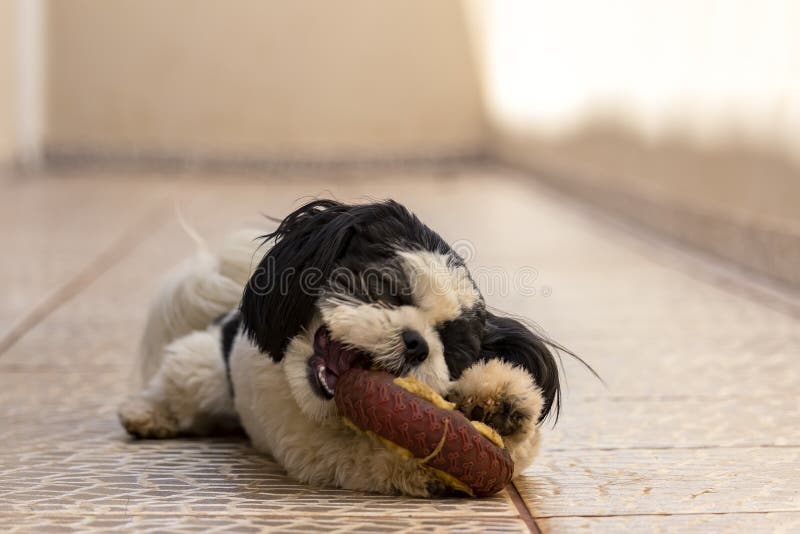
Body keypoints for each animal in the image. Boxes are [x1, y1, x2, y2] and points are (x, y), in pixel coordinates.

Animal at [119, 200, 564, 498]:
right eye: (385, 288)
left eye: (452, 350)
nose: (417, 343)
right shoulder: (311, 448)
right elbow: (372, 457)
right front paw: (434, 465)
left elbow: (520, 446)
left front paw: (502, 404)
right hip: (202, 372)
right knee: (178, 388)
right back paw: (148, 415)